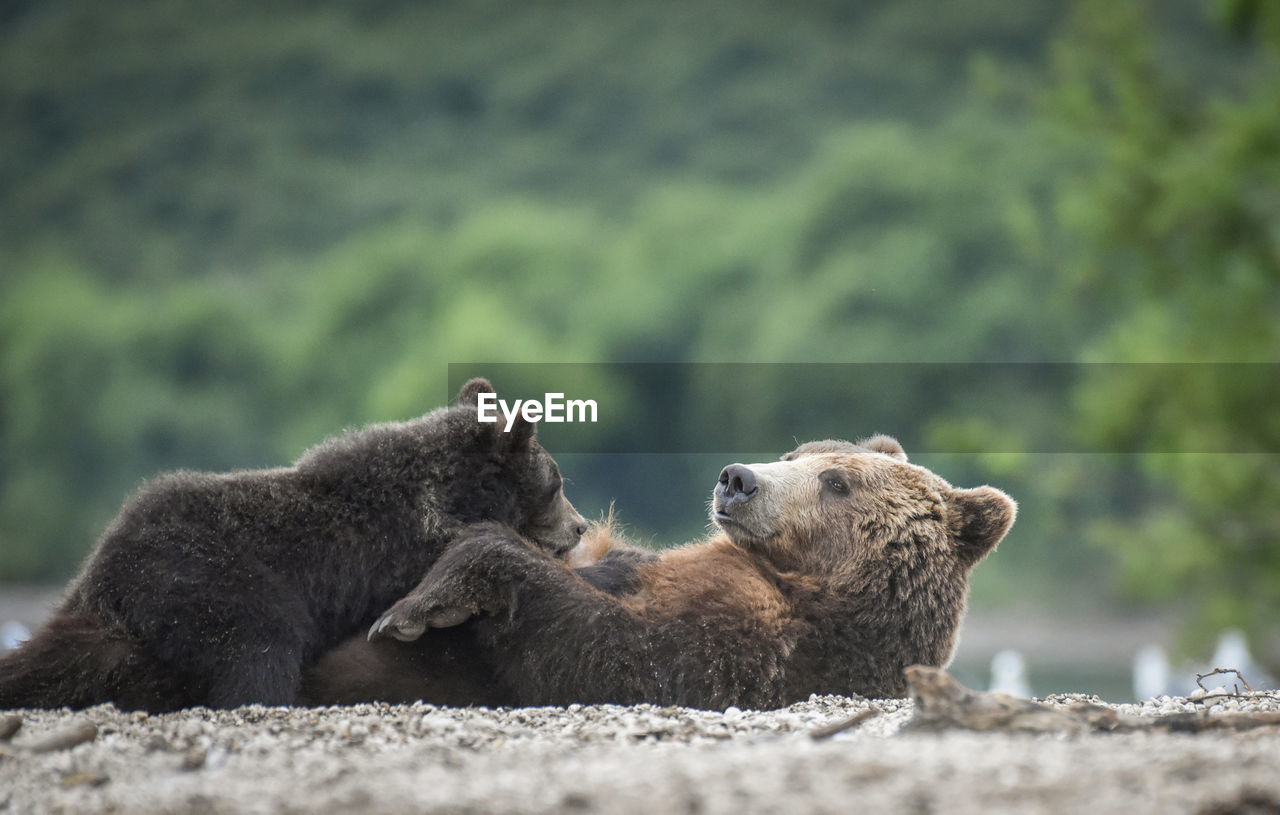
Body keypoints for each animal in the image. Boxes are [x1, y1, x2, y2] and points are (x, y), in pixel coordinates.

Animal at [0, 378, 586, 711]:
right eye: (556, 483)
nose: (581, 526)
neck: (447, 495)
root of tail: (104, 571)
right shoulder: (395, 549)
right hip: (210, 579)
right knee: (259, 647)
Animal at [366, 435, 1013, 711]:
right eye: (793, 456)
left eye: (836, 482)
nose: (737, 479)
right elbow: (616, 568)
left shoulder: (755, 642)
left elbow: (614, 653)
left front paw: (419, 604)